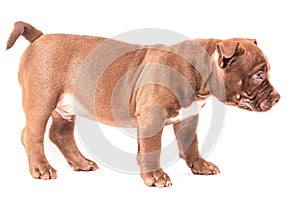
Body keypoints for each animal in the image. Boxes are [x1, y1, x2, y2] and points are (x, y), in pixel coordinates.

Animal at [7, 21, 278, 188]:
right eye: (259, 75)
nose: (278, 97)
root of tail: (39, 38)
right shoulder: (153, 117)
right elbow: (152, 147)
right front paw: (155, 176)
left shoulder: (188, 118)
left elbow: (190, 143)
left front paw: (199, 165)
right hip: (42, 100)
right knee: (32, 134)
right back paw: (41, 168)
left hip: (66, 106)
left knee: (60, 134)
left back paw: (81, 163)